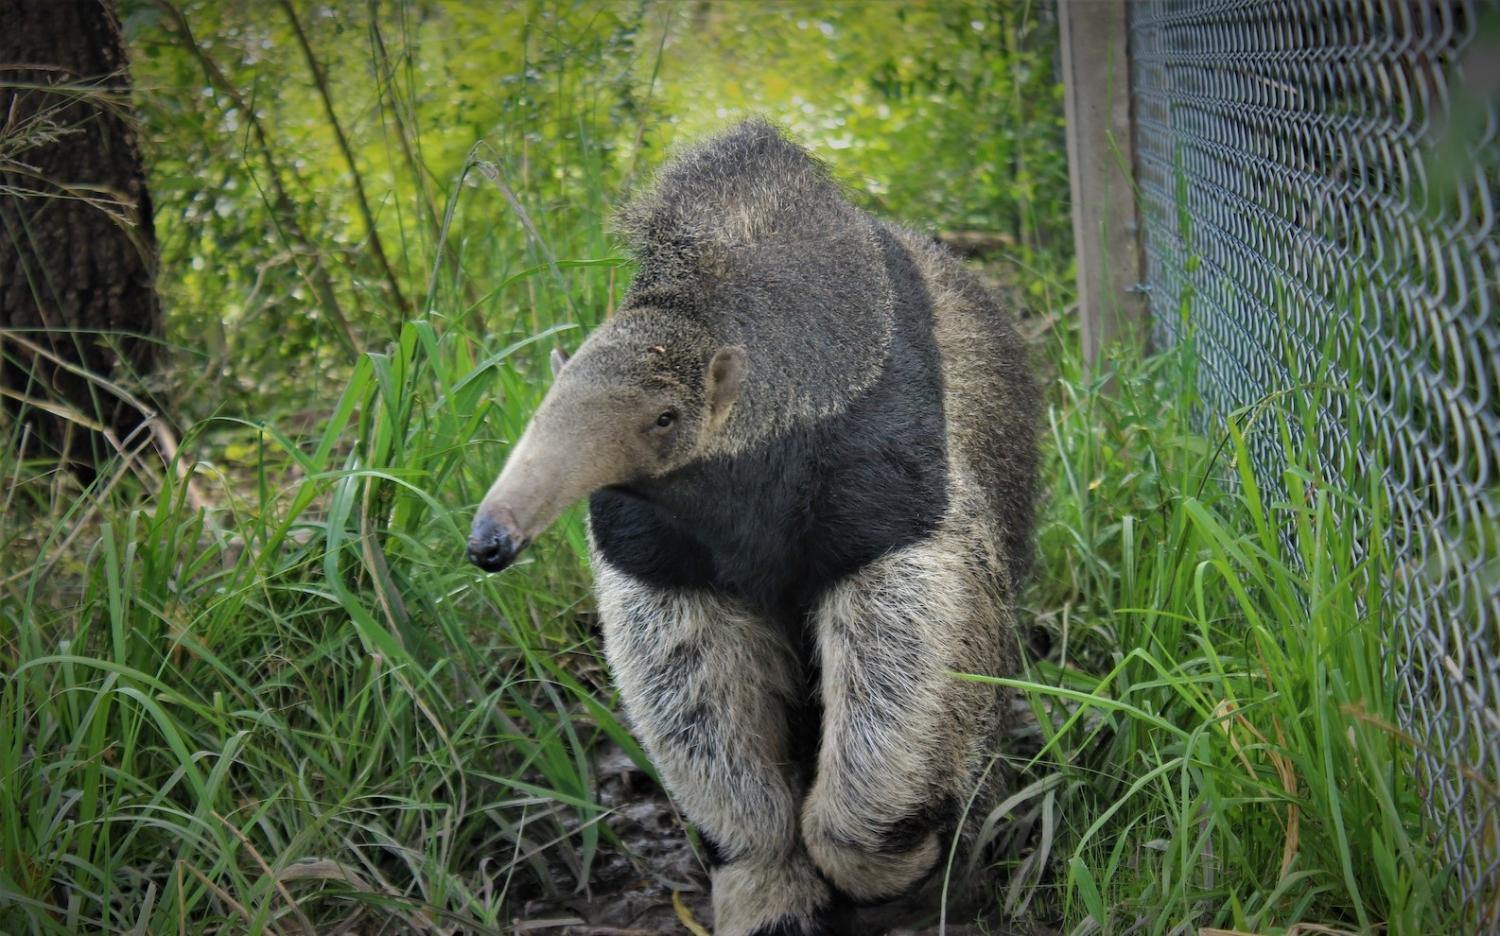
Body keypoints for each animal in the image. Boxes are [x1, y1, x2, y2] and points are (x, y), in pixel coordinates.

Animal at [468, 119, 1039, 935]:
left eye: (663, 418)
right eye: (547, 405)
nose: (491, 540)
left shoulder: (890, 470)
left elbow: (907, 636)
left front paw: (891, 860)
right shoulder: (657, 541)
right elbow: (687, 669)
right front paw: (768, 881)